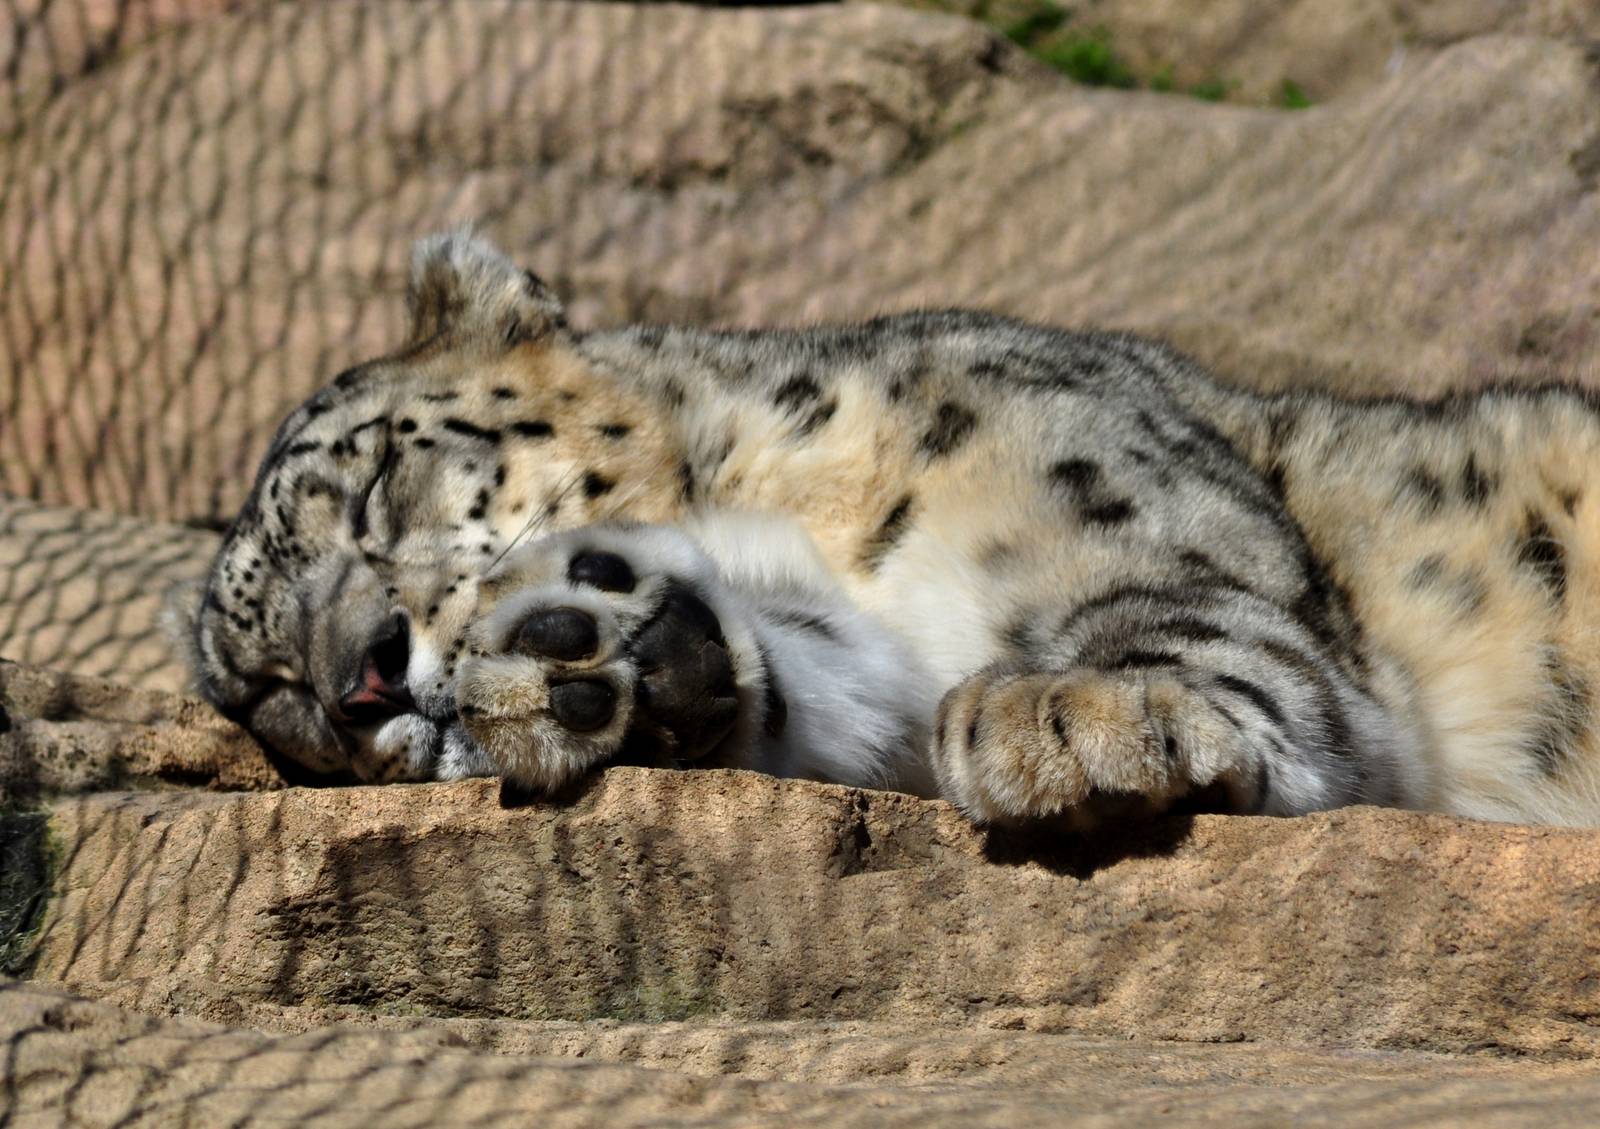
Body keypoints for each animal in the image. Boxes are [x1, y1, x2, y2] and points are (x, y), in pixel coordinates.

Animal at [179, 229, 1600, 829]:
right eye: (271, 695)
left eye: (375, 484)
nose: (364, 679)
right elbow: (829, 690)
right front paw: (590, 661)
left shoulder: (1108, 491)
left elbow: (1186, 607)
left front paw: (1069, 716)